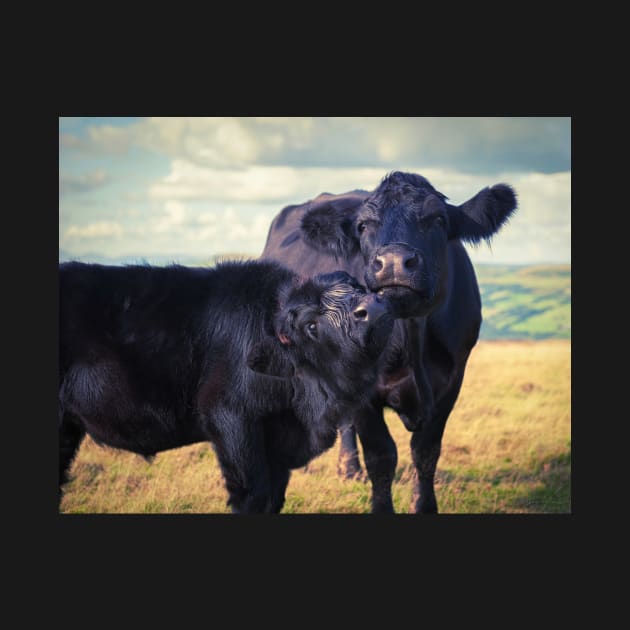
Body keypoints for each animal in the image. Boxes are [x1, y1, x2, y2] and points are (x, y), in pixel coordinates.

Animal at [59, 260, 396, 512]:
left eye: (355, 288)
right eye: (310, 325)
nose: (372, 308)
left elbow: (275, 498)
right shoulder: (230, 419)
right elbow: (252, 496)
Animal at [262, 172, 520, 512]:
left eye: (438, 218)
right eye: (362, 226)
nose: (395, 262)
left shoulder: (453, 380)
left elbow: (426, 451)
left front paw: (424, 505)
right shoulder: (366, 392)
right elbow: (381, 456)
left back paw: (349, 469)